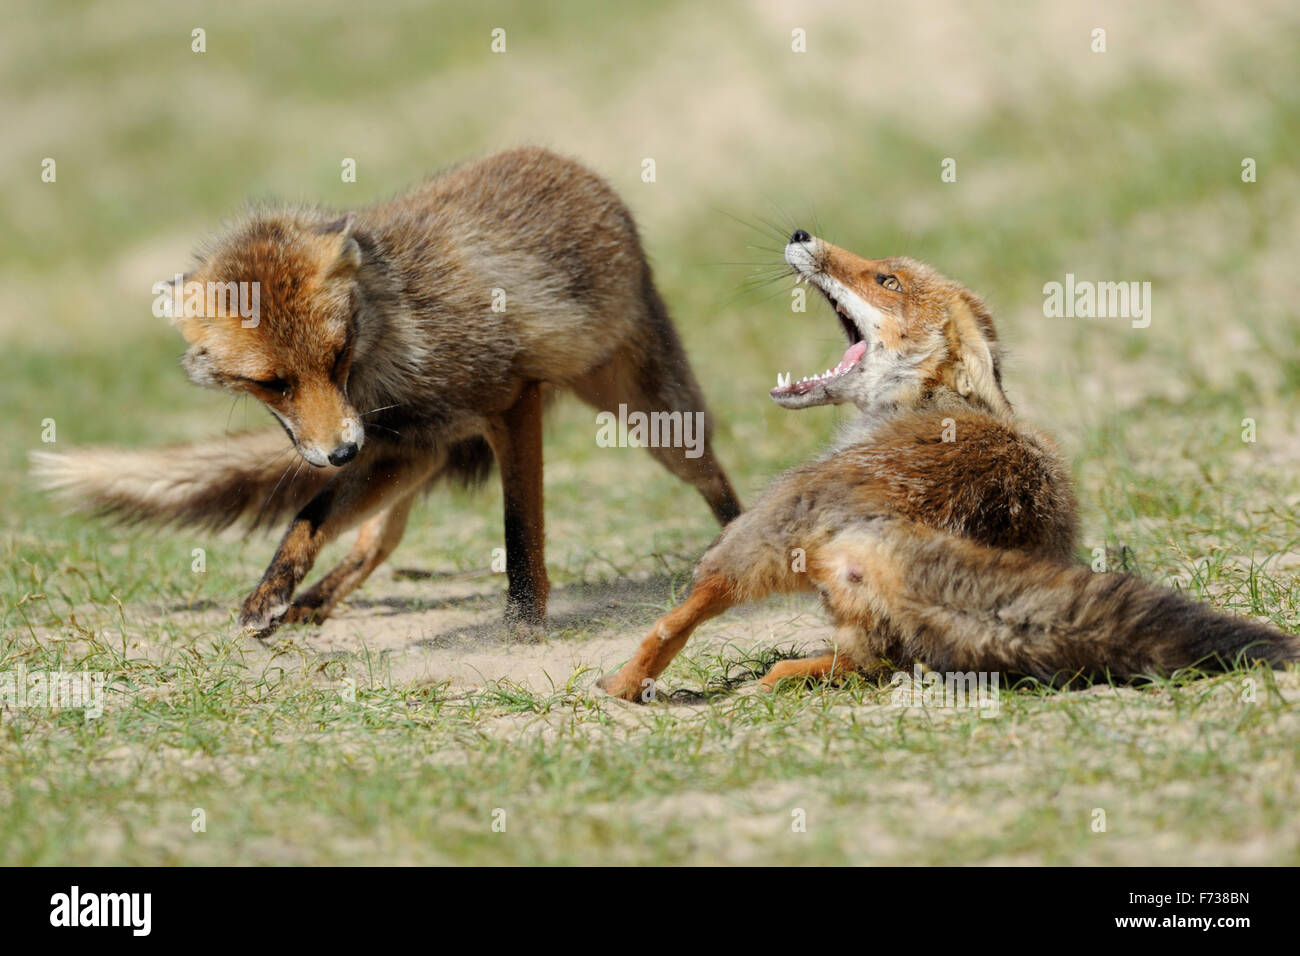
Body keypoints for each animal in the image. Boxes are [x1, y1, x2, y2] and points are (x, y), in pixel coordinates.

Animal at [32, 147, 743, 634]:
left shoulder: (508, 404)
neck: (393, 349)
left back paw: (740, 546)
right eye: (272, 383)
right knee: (379, 541)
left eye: (337, 355)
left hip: (653, 416)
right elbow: (308, 517)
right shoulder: (399, 448)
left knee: (715, 480)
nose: (342, 452)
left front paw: (522, 626)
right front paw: (271, 593)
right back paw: (314, 603)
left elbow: (521, 534)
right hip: (420, 461)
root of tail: (573, 166)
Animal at [595, 227, 1294, 697]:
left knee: (686, 616)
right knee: (870, 663)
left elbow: (677, 619)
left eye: (888, 281)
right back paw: (791, 674)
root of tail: (907, 521)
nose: (800, 234)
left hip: (757, 534)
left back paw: (628, 685)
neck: (926, 403)